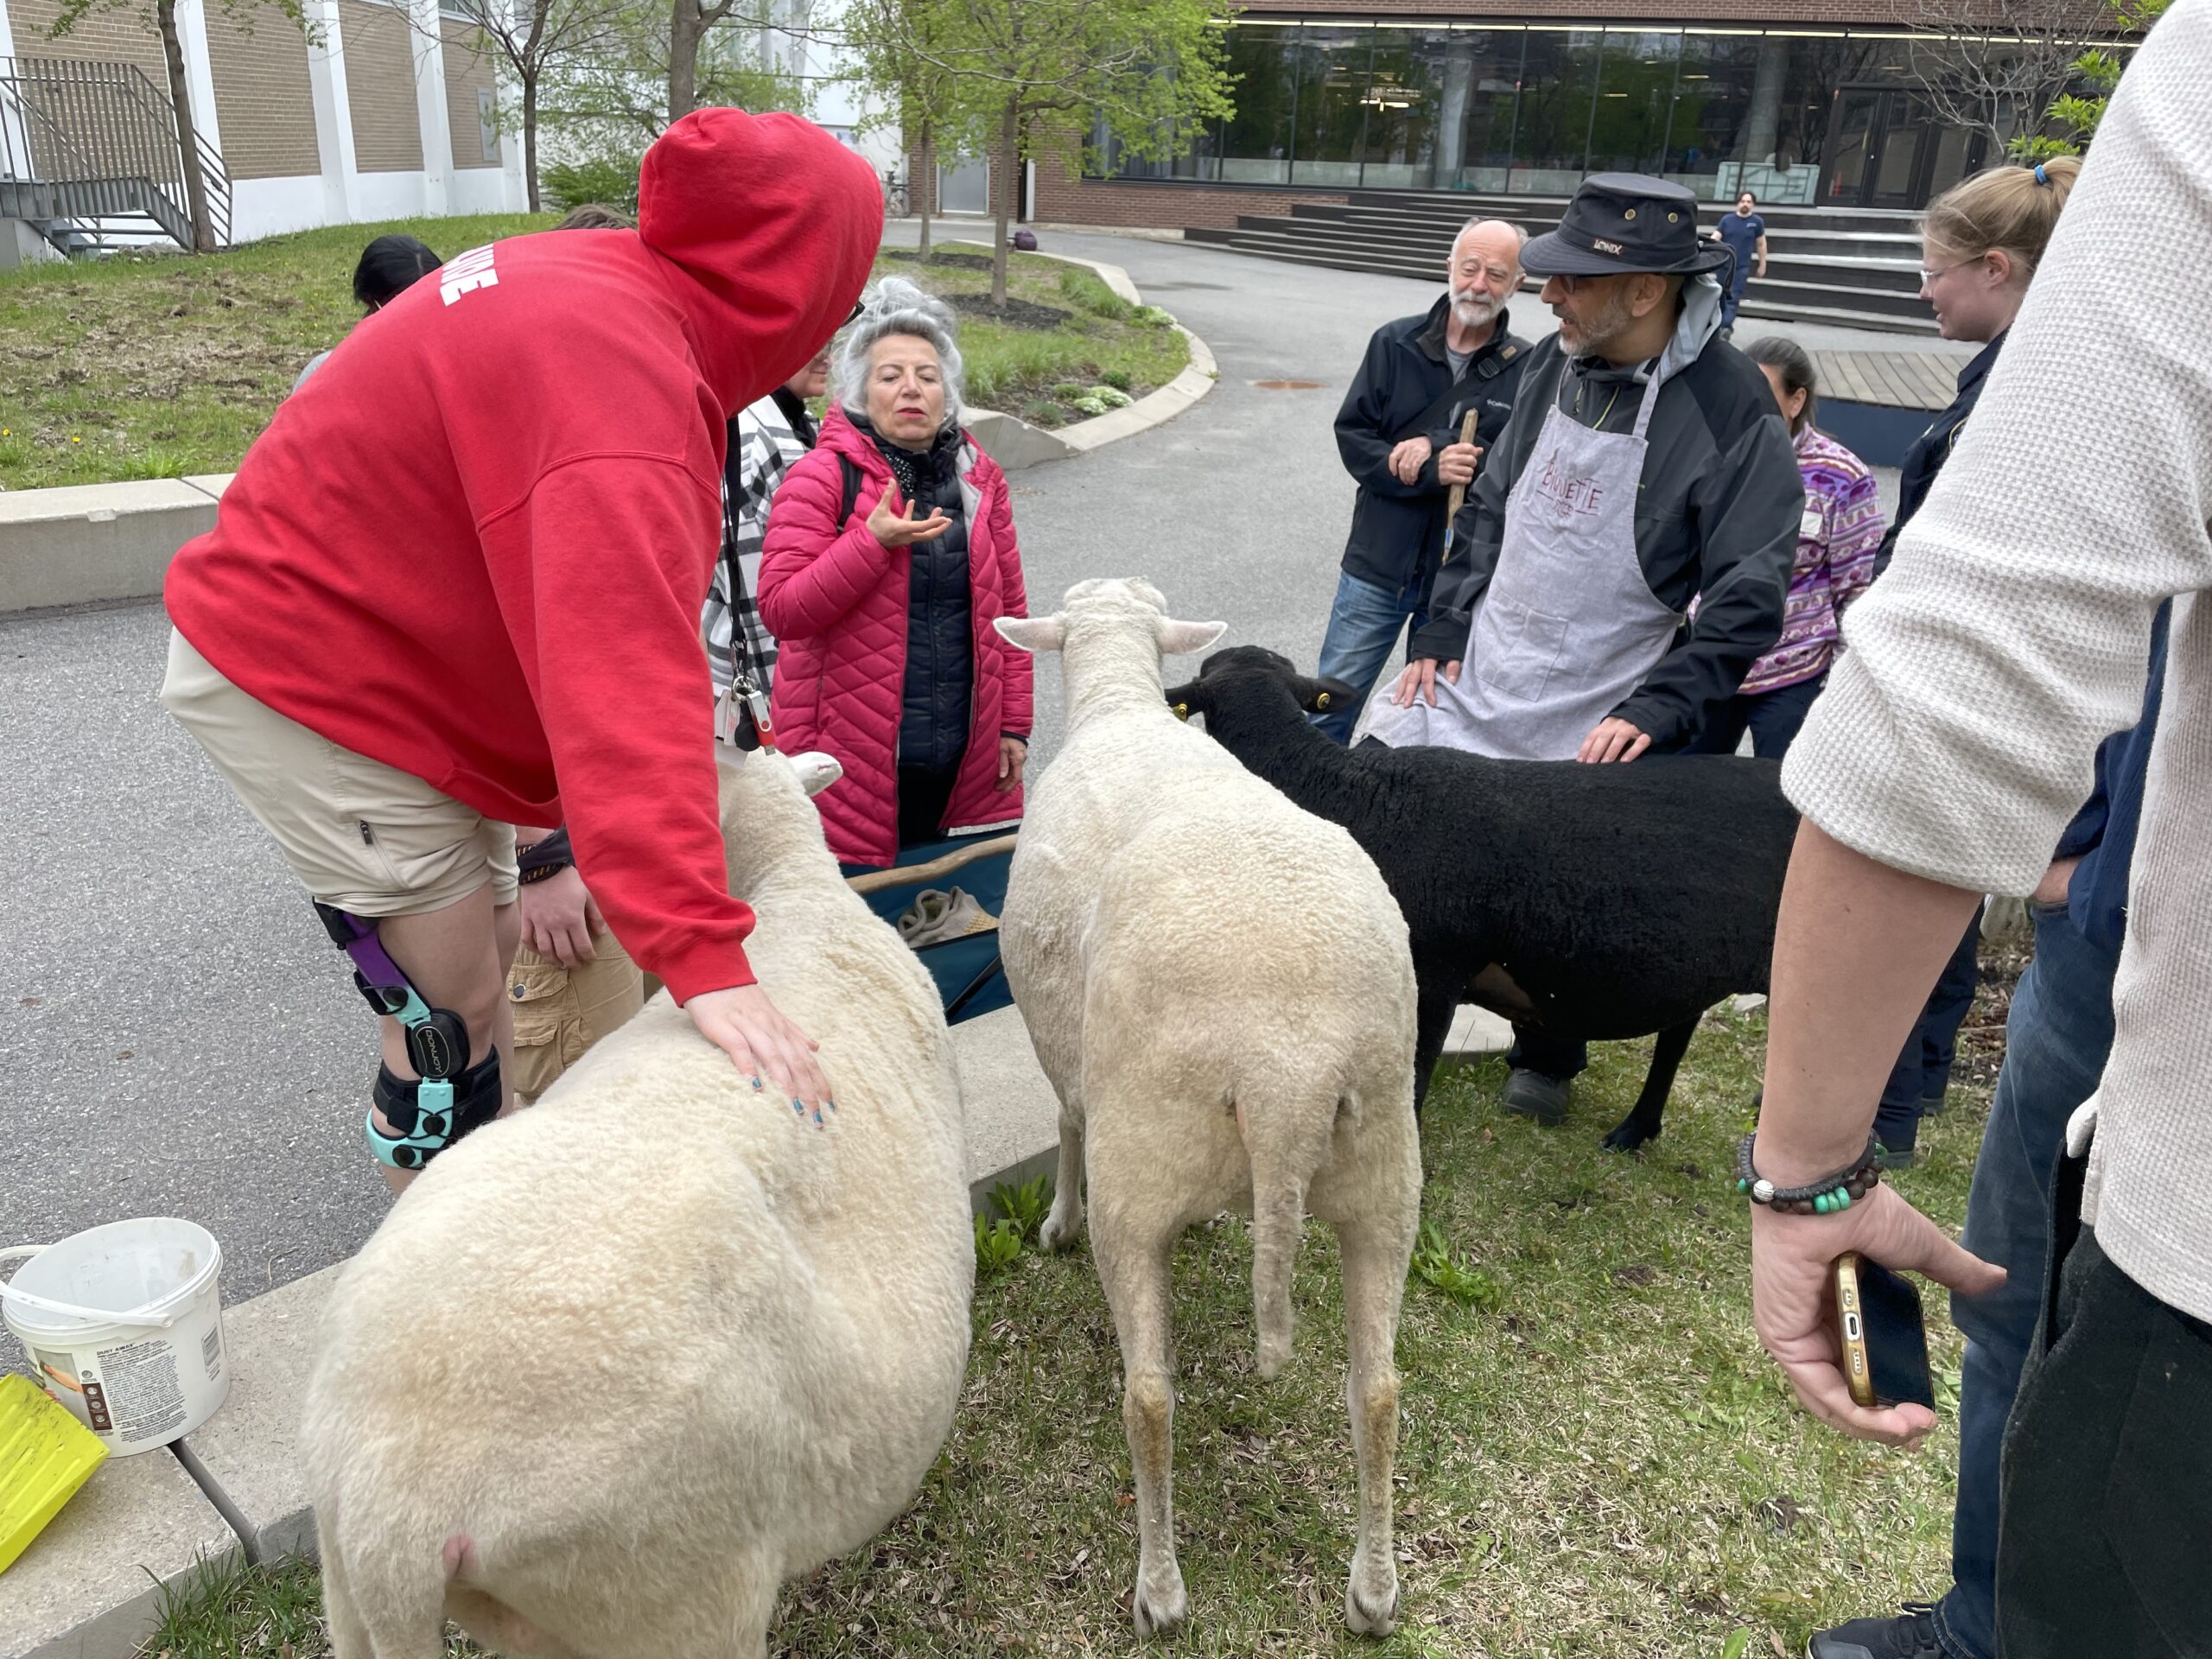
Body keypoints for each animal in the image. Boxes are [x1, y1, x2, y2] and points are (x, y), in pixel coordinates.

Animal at [993, 579, 1422, 1640]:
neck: (1120, 702)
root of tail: (1284, 1066)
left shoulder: (1066, 1052)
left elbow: (1064, 1124)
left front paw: (1054, 1223)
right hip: (1384, 1168)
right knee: (1379, 1390)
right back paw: (1373, 1590)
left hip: (1141, 1168)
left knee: (1149, 1398)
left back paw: (1159, 1590)